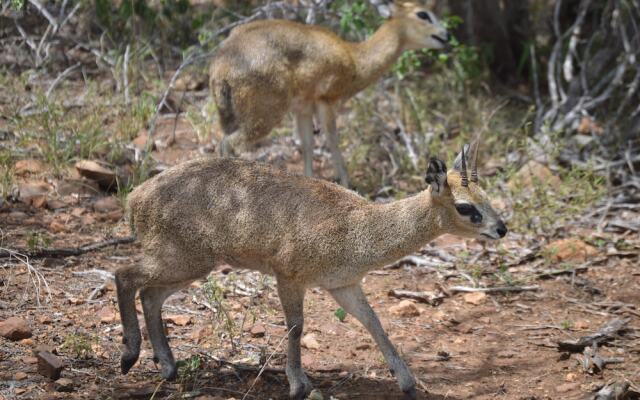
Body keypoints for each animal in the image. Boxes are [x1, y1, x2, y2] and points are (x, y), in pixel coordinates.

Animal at [114, 143, 504, 400]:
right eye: (466, 207)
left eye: (486, 195)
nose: (501, 228)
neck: (358, 226)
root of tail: (136, 197)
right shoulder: (289, 276)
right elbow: (296, 327)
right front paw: (299, 385)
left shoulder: (344, 286)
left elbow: (374, 323)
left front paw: (407, 383)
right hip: (183, 259)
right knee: (124, 274)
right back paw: (129, 356)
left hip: (188, 264)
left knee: (149, 294)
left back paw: (167, 366)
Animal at [211, 0, 450, 188]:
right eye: (422, 13)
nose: (446, 35)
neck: (353, 58)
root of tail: (222, 66)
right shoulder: (326, 102)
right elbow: (333, 142)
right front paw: (348, 186)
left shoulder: (303, 108)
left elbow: (307, 146)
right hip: (265, 115)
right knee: (228, 144)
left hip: (229, 116)